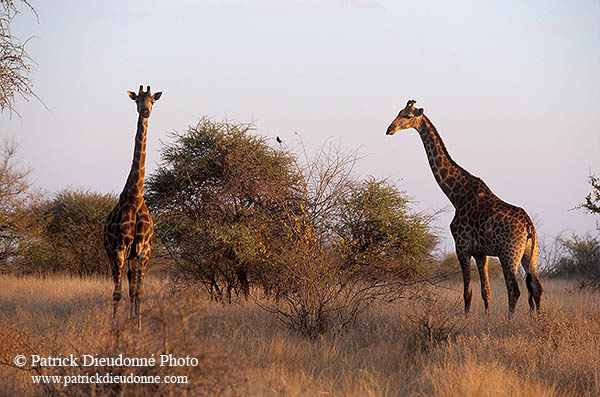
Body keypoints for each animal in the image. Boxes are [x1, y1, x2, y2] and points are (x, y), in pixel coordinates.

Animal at [386, 100, 540, 314]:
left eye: (407, 116)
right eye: (399, 111)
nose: (389, 129)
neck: (456, 195)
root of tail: (528, 226)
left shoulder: (462, 247)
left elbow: (468, 293)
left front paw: (466, 318)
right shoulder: (481, 253)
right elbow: (486, 292)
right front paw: (486, 318)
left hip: (508, 254)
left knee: (515, 290)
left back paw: (510, 320)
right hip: (530, 255)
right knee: (536, 288)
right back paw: (538, 319)